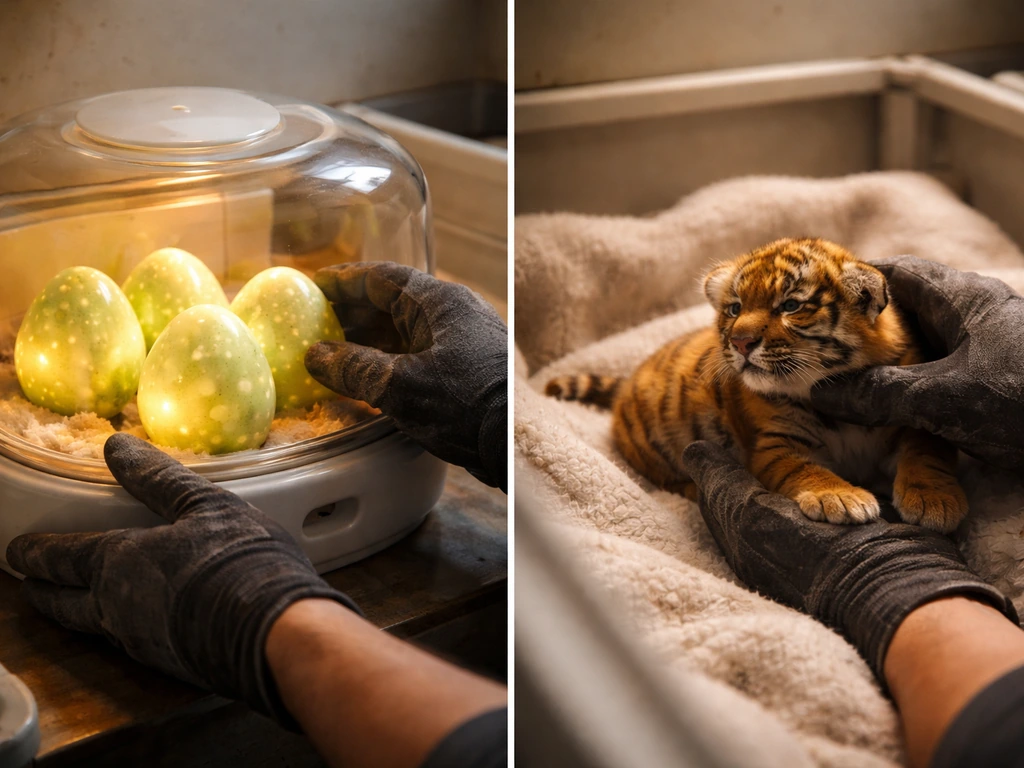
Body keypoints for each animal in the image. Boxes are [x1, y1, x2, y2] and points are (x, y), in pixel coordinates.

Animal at [545, 237, 968, 533]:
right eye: (735, 308)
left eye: (790, 306)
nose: (741, 341)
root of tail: (627, 383)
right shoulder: (776, 445)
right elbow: (804, 469)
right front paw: (842, 497)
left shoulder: (907, 413)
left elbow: (927, 450)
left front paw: (935, 501)